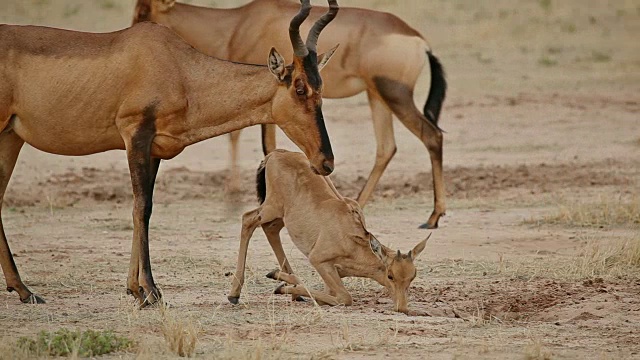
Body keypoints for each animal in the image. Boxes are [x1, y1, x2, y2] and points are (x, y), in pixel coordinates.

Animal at [0, 0, 340, 306]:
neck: (177, 67)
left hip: (11, 137)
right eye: (299, 87)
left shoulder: (154, 150)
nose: (325, 162)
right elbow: (141, 208)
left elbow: (143, 208)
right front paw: (151, 291)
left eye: (321, 85)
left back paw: (24, 290)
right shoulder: (135, 137)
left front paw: (137, 291)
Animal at [132, 0, 448, 229]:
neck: (240, 22)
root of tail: (420, 40)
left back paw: (432, 217)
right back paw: (358, 204)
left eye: (145, 10)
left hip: (394, 94)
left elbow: (252, 140)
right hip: (376, 96)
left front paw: (235, 201)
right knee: (386, 147)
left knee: (431, 136)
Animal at [228, 149, 428, 312]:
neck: (348, 237)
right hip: (272, 207)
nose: (402, 308)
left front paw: (280, 280)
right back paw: (234, 294)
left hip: (279, 216)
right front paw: (281, 284)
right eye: (390, 275)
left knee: (270, 229)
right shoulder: (318, 260)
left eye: (412, 276)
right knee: (248, 219)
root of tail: (277, 154)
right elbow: (345, 298)